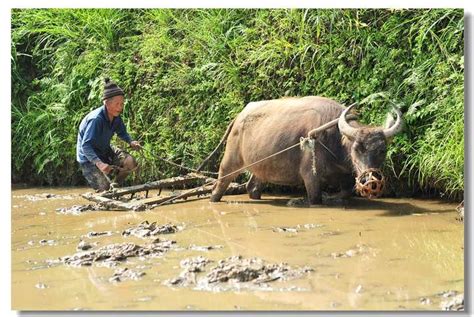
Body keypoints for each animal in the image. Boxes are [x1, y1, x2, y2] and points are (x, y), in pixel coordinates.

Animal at [209, 95, 402, 204]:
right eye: (357, 149)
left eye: (382, 150)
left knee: (253, 187)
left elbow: (346, 193)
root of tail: (238, 117)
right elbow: (315, 198)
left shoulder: (345, 175)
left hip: (262, 166)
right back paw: (214, 198)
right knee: (221, 183)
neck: (333, 138)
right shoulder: (311, 176)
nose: (371, 181)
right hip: (231, 159)